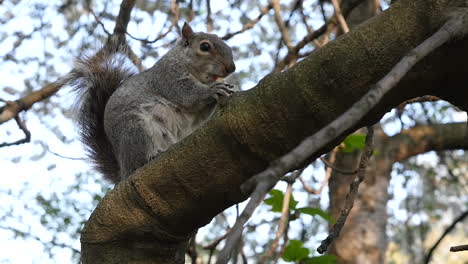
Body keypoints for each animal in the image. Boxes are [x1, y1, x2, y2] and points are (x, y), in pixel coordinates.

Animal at [71, 22, 236, 184]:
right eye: (205, 46)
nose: (232, 68)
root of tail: (124, 171)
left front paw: (224, 89)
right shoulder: (168, 76)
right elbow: (187, 95)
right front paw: (213, 90)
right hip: (135, 129)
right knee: (138, 160)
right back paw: (152, 155)